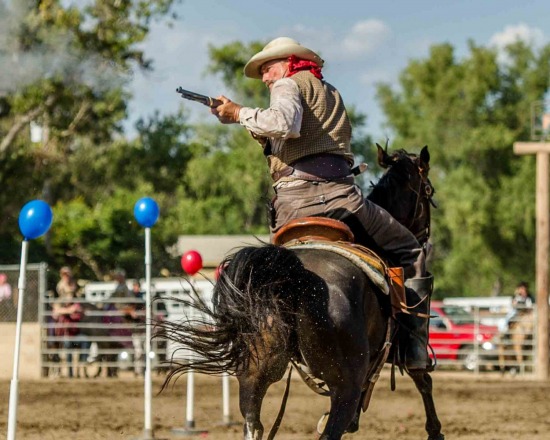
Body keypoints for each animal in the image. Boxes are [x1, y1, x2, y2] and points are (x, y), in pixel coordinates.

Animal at [163, 145, 444, 440]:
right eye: (429, 191)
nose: (427, 240)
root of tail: (294, 276)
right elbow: (422, 378)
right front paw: (435, 431)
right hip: (345, 385)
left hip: (256, 372)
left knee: (253, 424)